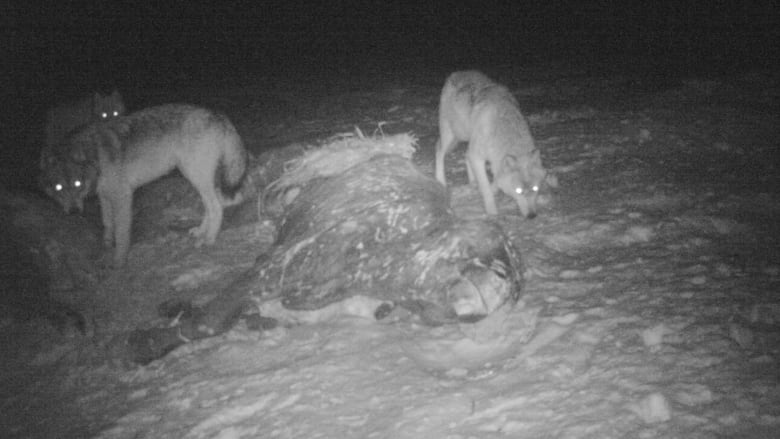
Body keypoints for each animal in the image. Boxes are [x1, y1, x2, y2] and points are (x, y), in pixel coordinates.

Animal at [39, 104, 247, 266]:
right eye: (58, 188)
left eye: (77, 183)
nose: (73, 212)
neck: (96, 157)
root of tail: (217, 114)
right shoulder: (104, 197)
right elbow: (108, 223)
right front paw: (107, 244)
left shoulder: (123, 196)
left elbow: (122, 233)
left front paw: (119, 262)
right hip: (194, 177)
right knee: (211, 206)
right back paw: (201, 232)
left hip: (196, 176)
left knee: (217, 207)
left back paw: (210, 238)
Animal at [436, 70, 552, 218]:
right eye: (519, 191)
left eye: (535, 189)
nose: (532, 216)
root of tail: (458, 73)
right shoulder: (478, 157)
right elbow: (486, 188)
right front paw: (492, 214)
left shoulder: (494, 160)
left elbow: (496, 181)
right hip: (454, 135)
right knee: (439, 149)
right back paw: (441, 181)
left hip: (468, 138)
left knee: (465, 155)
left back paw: (473, 183)